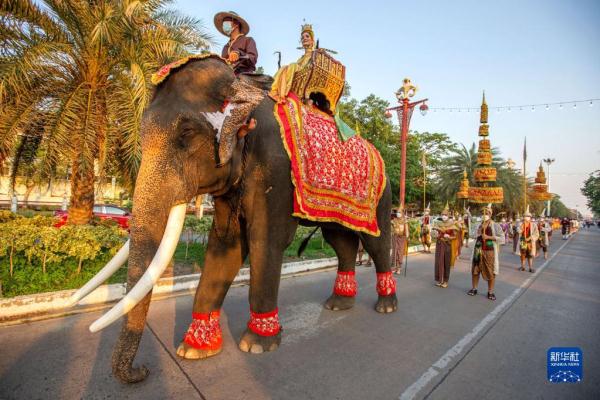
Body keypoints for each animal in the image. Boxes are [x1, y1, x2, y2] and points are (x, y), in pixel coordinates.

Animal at [69, 54, 398, 382]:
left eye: (186, 134)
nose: (142, 371)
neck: (244, 88)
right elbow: (226, 245)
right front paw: (194, 349)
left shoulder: (275, 168)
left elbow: (266, 240)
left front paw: (257, 344)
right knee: (339, 239)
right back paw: (339, 304)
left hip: (381, 195)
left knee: (375, 241)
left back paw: (385, 307)